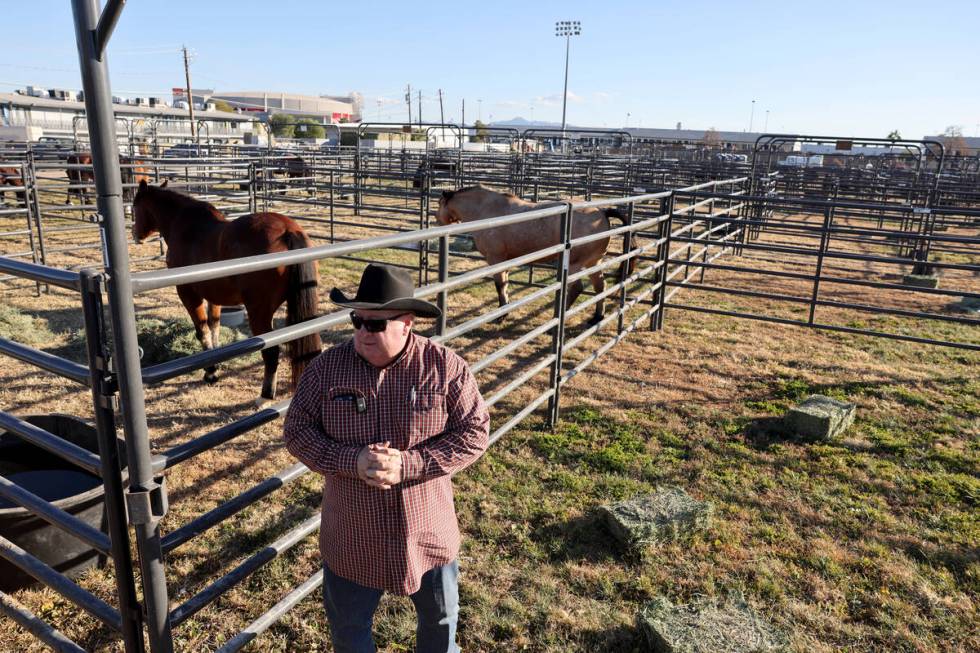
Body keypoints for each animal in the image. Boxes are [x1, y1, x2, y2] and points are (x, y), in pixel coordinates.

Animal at [130, 180, 320, 402]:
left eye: (134, 207)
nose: (135, 235)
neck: (186, 227)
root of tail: (287, 231)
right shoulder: (214, 295)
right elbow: (215, 327)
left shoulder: (188, 293)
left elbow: (202, 331)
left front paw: (210, 373)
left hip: (259, 312)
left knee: (271, 350)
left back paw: (265, 396)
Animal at [434, 186, 636, 324]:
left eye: (439, 205)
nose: (437, 223)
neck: (487, 211)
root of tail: (602, 211)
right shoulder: (506, 260)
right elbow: (505, 284)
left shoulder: (495, 259)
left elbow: (499, 285)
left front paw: (501, 315)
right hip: (593, 262)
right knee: (600, 286)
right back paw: (597, 317)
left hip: (575, 265)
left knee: (576, 288)